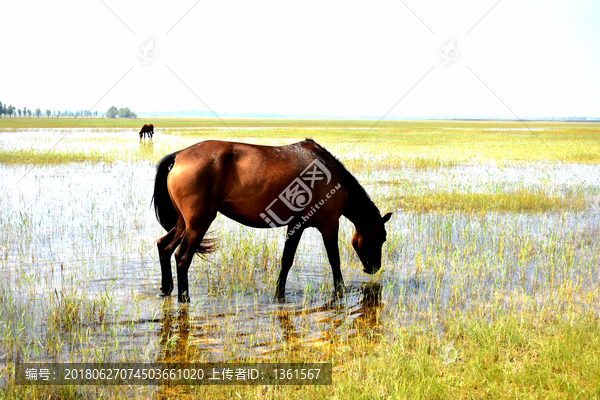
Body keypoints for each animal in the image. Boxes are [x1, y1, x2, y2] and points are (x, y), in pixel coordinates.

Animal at [152, 139, 392, 302]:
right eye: (382, 238)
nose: (374, 268)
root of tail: (178, 156)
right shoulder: (329, 224)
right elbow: (334, 260)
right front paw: (340, 290)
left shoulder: (296, 225)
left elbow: (286, 260)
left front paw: (279, 293)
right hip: (198, 223)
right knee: (182, 258)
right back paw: (184, 298)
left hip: (183, 223)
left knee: (164, 246)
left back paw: (166, 290)